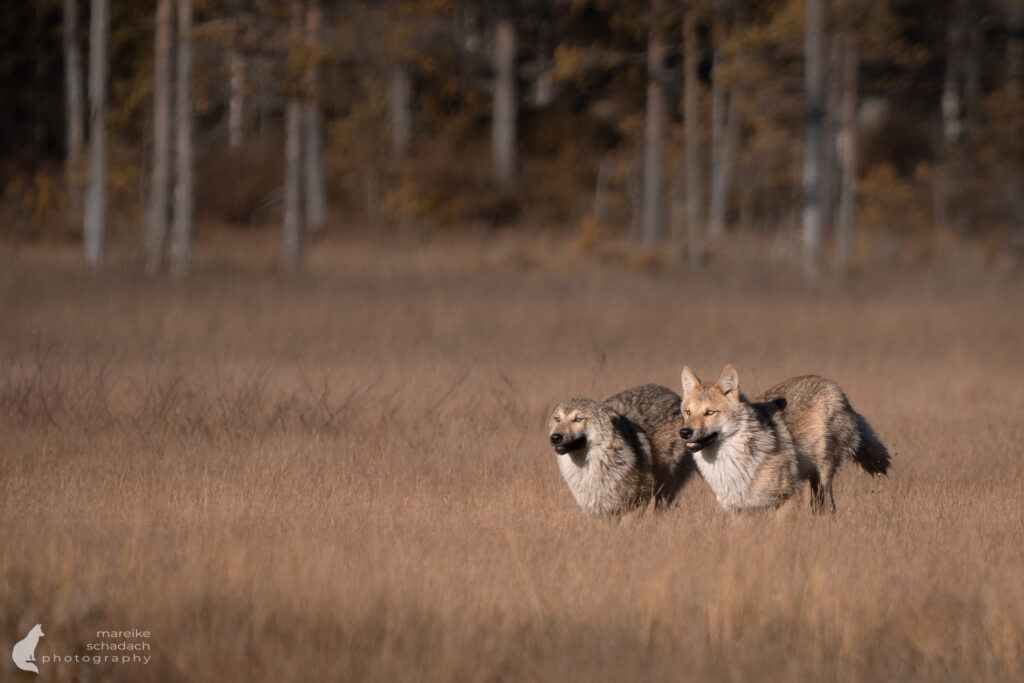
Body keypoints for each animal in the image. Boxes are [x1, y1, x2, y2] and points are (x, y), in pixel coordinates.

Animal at [548, 384, 694, 516]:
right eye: (557, 419)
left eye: (578, 419)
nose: (555, 437)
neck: (588, 471)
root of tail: (673, 396)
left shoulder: (638, 502)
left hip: (665, 488)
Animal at [679, 365, 890, 513]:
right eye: (688, 412)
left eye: (709, 412)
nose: (685, 432)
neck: (728, 464)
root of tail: (835, 388)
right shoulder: (737, 510)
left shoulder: (789, 497)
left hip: (823, 475)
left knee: (829, 508)